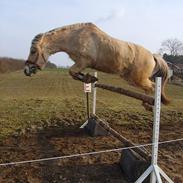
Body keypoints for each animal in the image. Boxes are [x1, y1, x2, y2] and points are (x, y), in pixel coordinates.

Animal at [24, 22, 170, 106]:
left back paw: (150, 104)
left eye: (33, 51)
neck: (74, 37)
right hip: (131, 79)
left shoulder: (83, 61)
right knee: (149, 87)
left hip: (137, 79)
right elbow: (74, 73)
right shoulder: (81, 63)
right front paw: (91, 78)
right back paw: (146, 103)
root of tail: (153, 56)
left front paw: (89, 78)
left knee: (152, 86)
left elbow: (72, 71)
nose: (26, 70)